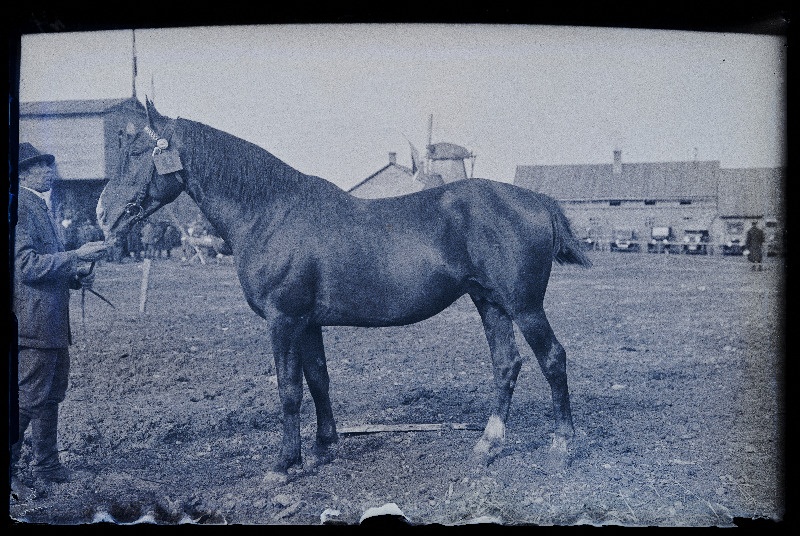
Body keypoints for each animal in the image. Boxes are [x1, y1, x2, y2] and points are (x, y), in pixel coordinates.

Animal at [97, 98, 592, 476]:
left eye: (137, 151)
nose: (103, 214)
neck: (270, 212)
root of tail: (536, 201)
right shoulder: (308, 322)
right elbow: (318, 379)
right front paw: (323, 447)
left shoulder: (284, 320)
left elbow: (288, 389)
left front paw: (286, 463)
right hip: (489, 303)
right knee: (506, 365)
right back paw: (487, 445)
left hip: (523, 306)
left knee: (552, 358)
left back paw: (562, 445)